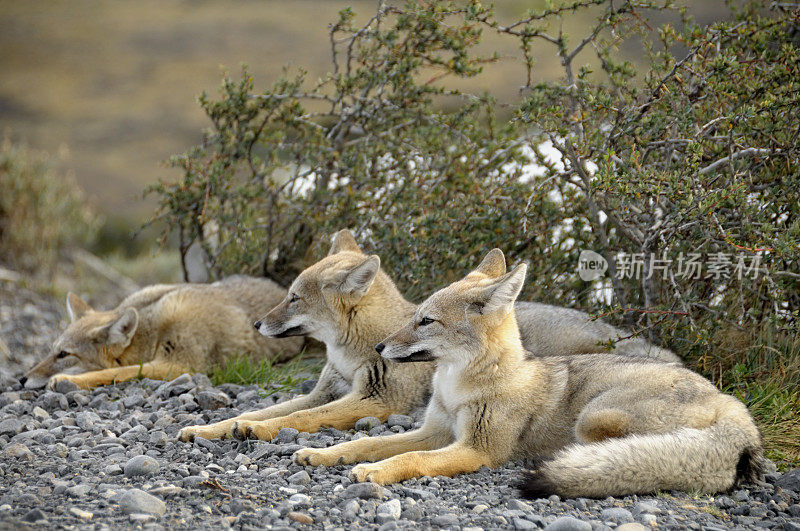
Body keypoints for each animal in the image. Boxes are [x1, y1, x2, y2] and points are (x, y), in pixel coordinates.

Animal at [21, 276, 304, 392]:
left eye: (63, 355)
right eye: (51, 351)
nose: (21, 379)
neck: (154, 326)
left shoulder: (179, 365)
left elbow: (116, 372)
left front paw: (67, 379)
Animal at [181, 231, 680, 442]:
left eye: (293, 298)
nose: (256, 325)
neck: (353, 353)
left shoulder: (376, 401)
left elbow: (299, 418)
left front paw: (255, 428)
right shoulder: (328, 390)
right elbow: (270, 409)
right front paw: (214, 426)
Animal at [292, 249, 764, 498]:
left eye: (426, 322)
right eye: (415, 316)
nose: (379, 348)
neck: (456, 389)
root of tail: (732, 405)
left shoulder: (474, 449)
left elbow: (410, 459)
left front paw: (377, 472)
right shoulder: (434, 431)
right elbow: (368, 441)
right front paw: (324, 453)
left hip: (594, 417)